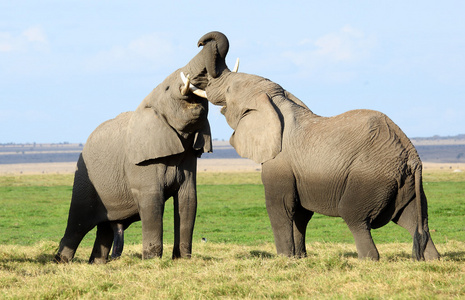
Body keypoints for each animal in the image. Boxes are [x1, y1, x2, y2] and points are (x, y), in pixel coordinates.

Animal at [53, 31, 236, 264]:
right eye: (168, 88)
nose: (201, 41)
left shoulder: (188, 157)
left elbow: (188, 199)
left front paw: (182, 260)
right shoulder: (141, 163)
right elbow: (152, 200)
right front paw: (152, 261)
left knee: (104, 229)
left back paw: (97, 264)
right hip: (85, 179)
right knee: (77, 223)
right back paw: (61, 262)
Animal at [194, 32, 440, 260]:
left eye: (229, 91)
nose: (200, 42)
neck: (276, 101)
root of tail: (412, 157)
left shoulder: (279, 162)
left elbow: (280, 207)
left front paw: (285, 259)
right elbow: (300, 214)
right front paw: (299, 258)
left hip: (372, 176)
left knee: (355, 218)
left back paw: (368, 260)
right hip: (405, 184)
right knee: (414, 220)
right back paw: (431, 260)